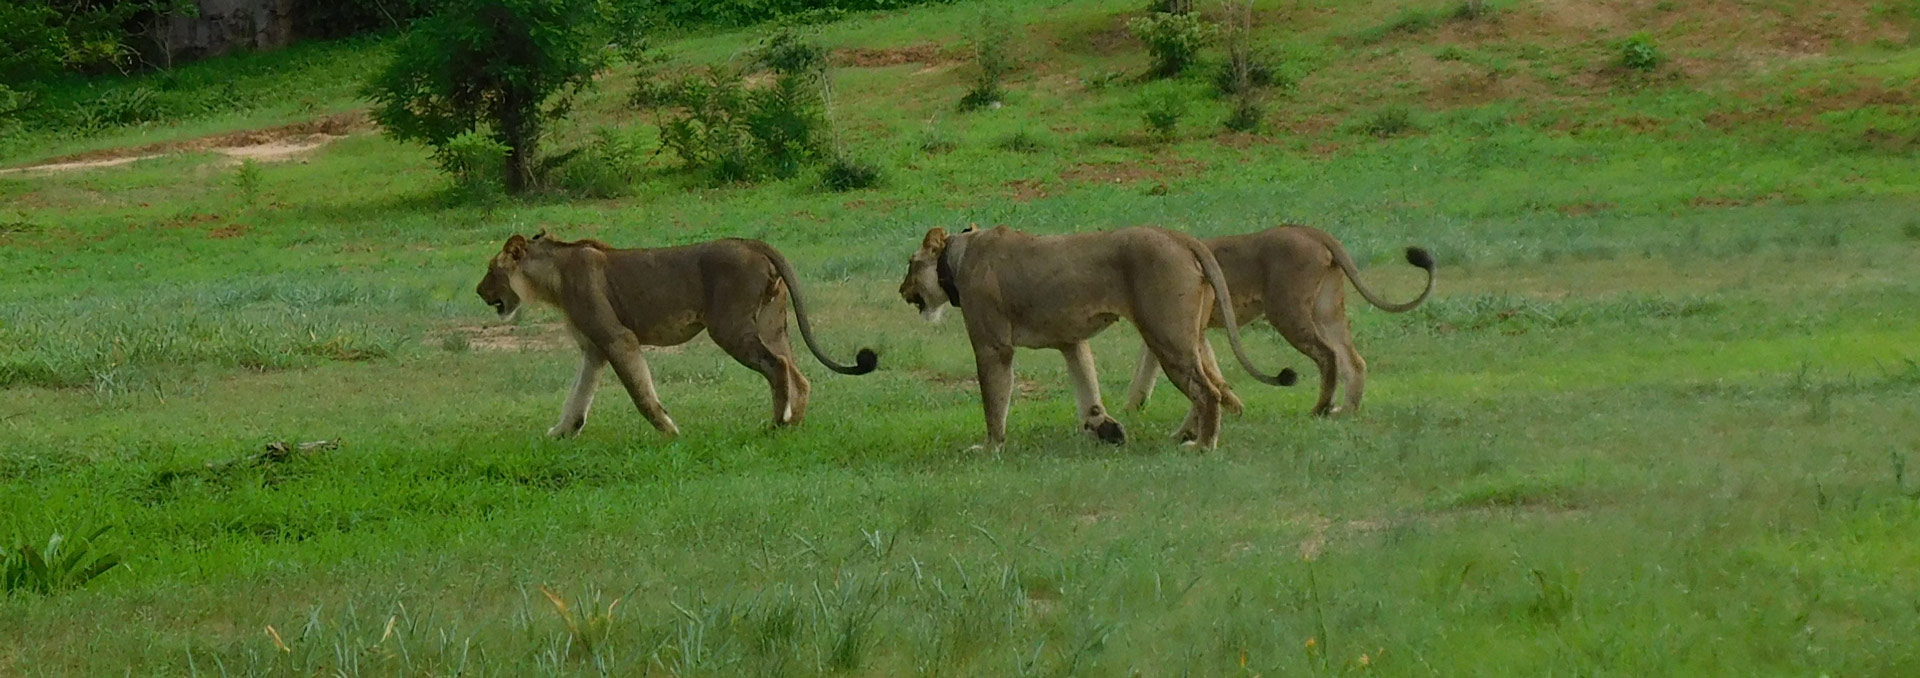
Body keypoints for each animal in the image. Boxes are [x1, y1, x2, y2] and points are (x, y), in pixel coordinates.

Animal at [476, 229, 879, 435]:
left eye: (491, 269)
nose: (479, 292)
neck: (553, 278)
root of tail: (752, 243)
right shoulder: (594, 349)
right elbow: (577, 398)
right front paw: (558, 436)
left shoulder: (617, 338)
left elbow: (641, 396)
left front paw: (670, 433)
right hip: (771, 323)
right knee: (798, 373)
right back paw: (795, 423)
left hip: (729, 326)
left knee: (777, 366)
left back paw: (776, 425)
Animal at [1121, 224, 1436, 414]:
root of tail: (1313, 232)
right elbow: (1149, 371)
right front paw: (1133, 409)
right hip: (1326, 310)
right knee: (1354, 360)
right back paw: (1345, 411)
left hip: (1286, 310)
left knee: (1328, 355)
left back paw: (1320, 409)